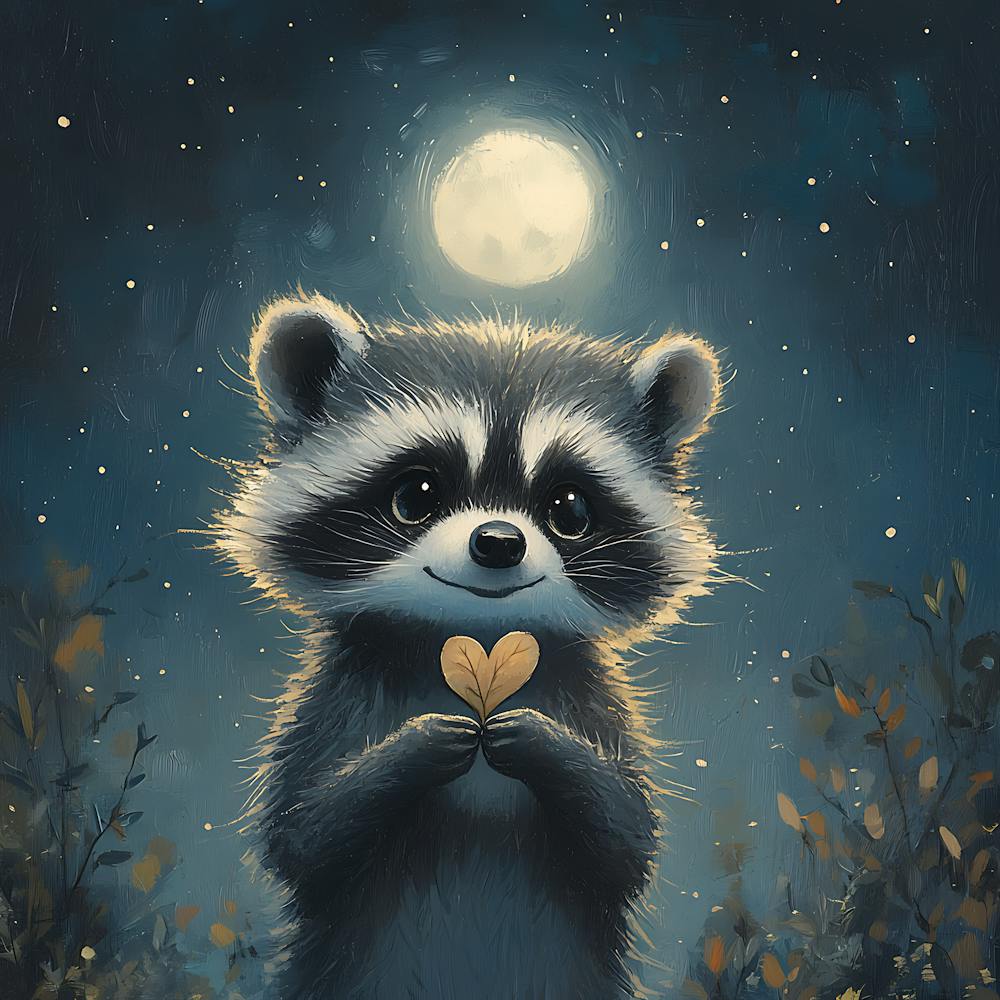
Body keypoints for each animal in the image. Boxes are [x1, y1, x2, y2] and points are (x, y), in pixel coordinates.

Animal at [214, 292, 721, 1000]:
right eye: (416, 495)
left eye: (569, 509)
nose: (499, 542)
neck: (475, 634)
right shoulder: (334, 697)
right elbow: (303, 837)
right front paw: (414, 747)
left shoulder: (595, 698)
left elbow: (626, 841)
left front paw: (545, 744)